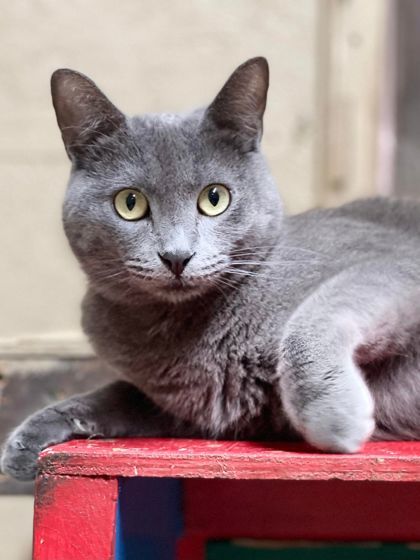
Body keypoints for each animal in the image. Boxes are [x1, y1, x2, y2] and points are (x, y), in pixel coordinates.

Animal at [2, 59, 420, 482]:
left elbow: (312, 323)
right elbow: (118, 393)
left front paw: (336, 418)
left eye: (214, 198)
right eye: (129, 203)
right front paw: (27, 439)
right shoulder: (194, 408)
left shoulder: (396, 263)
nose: (176, 256)